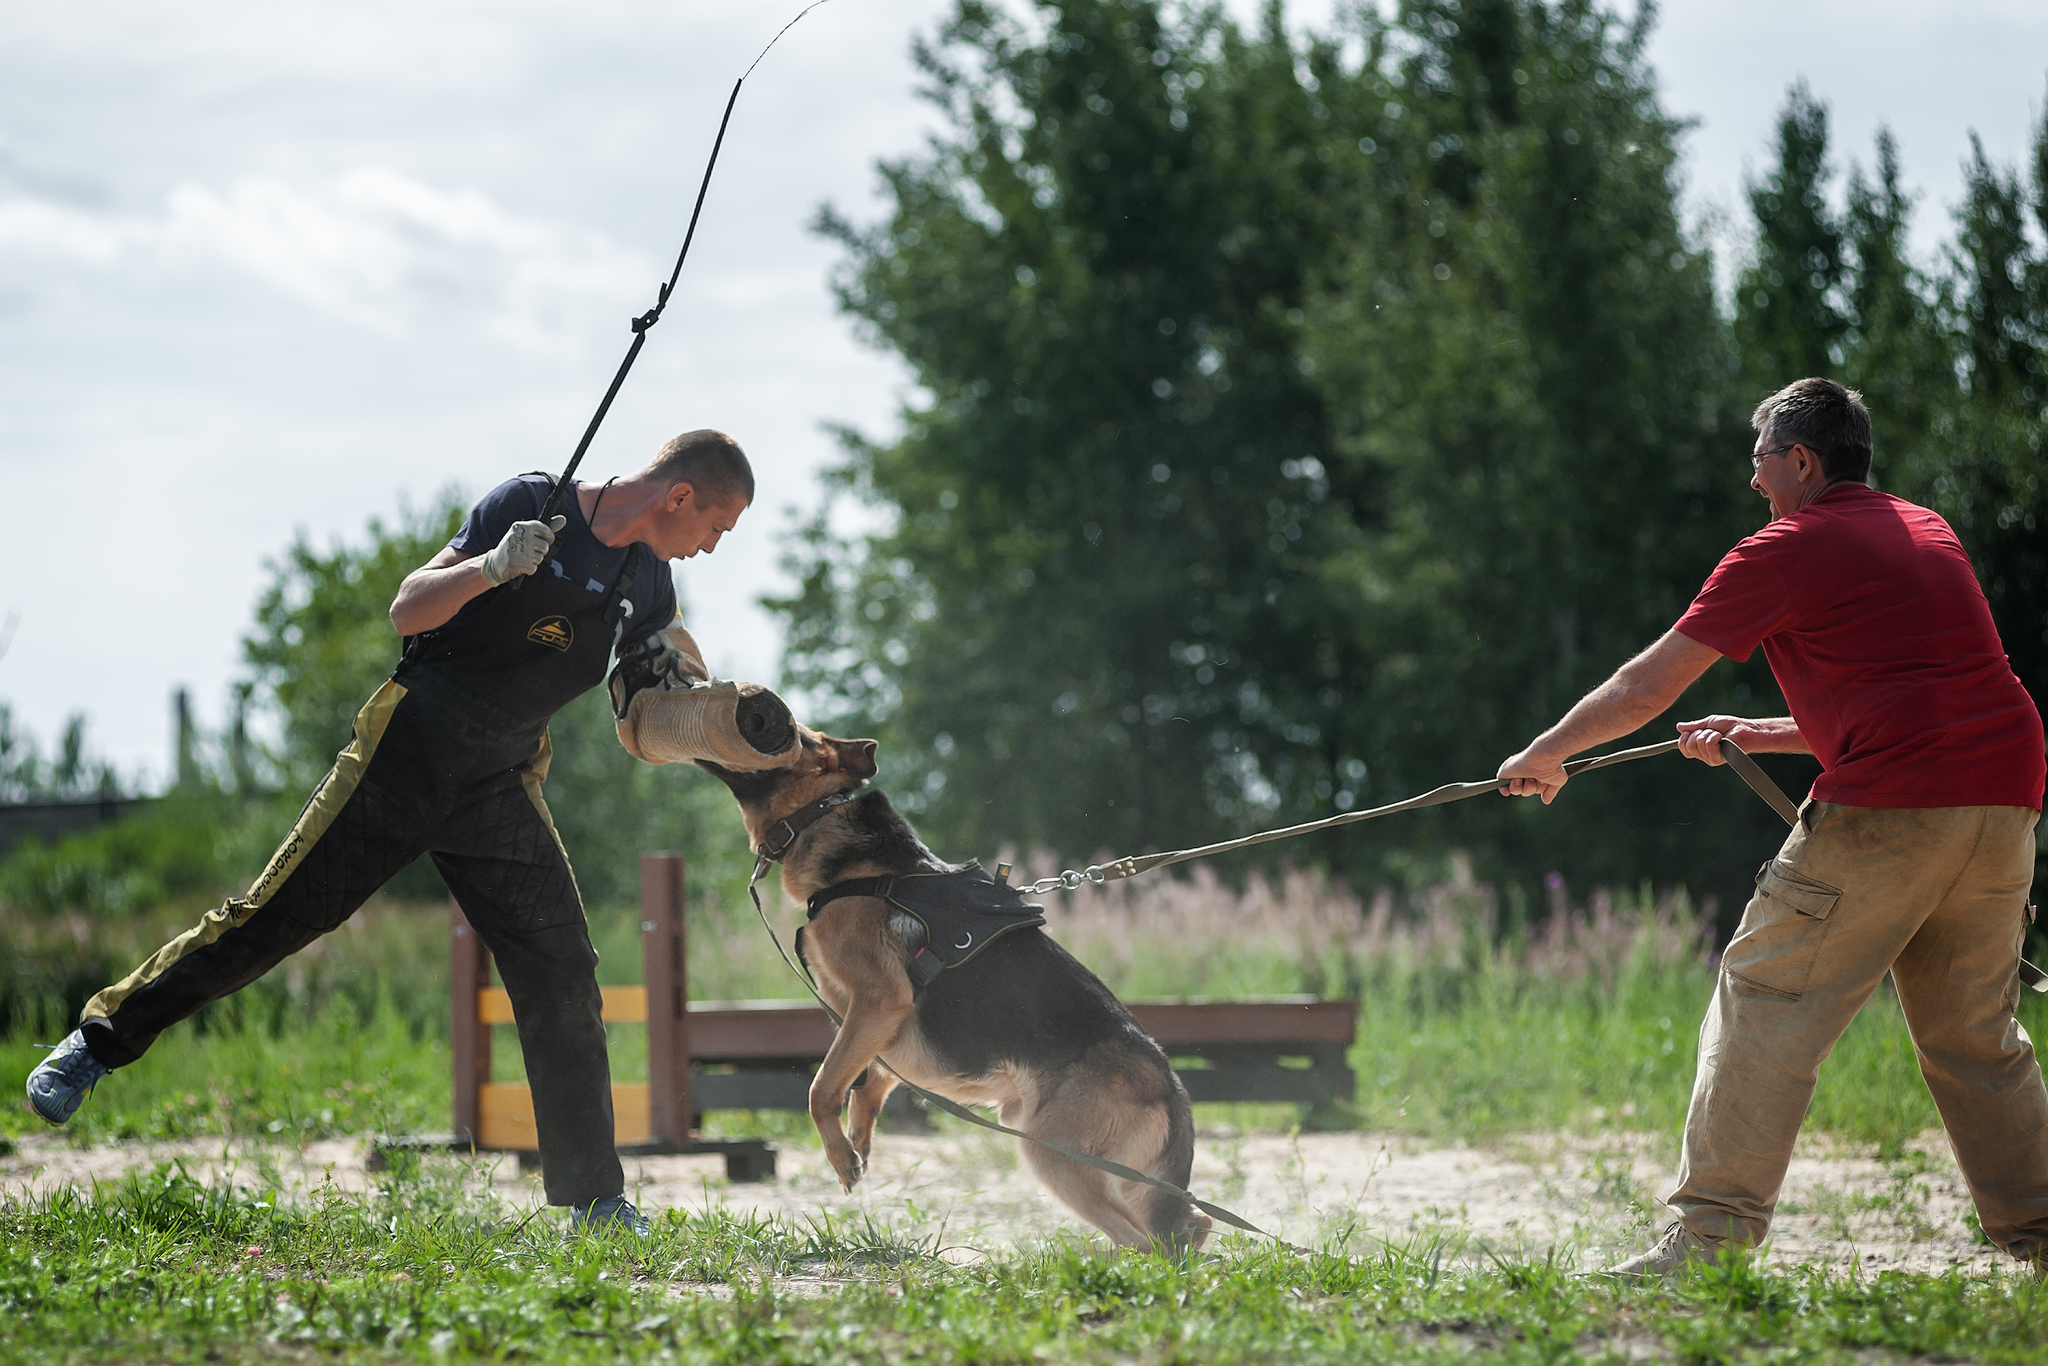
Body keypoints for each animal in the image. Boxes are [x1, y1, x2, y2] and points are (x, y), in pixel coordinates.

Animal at [704, 733, 1212, 1253]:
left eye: (792, 734)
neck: (826, 816)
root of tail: (1171, 1085)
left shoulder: (880, 1000)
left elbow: (821, 1087)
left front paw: (841, 1155)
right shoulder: (874, 1023)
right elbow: (868, 1081)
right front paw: (857, 1140)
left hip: (1057, 1156)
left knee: (1146, 1242)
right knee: (1192, 1222)